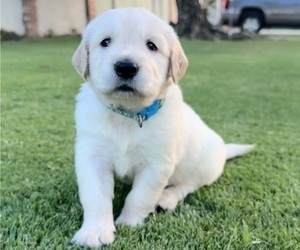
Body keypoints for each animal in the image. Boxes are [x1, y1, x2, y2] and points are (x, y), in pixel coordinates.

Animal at [71, 7, 254, 248]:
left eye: (151, 46)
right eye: (105, 42)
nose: (126, 67)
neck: (129, 115)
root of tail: (224, 150)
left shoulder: (157, 164)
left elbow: (140, 195)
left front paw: (129, 222)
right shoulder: (92, 155)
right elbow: (95, 195)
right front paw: (94, 232)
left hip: (204, 166)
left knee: (188, 184)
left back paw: (166, 198)